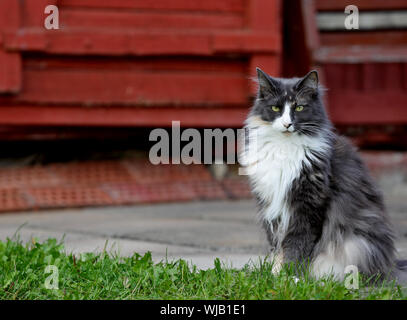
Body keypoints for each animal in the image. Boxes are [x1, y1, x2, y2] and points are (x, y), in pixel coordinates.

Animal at [242, 69, 407, 284]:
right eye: (276, 108)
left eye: (299, 107)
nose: (287, 124)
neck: (284, 148)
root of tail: (390, 267)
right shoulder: (271, 205)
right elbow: (277, 247)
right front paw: (274, 275)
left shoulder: (309, 205)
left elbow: (296, 245)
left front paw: (290, 276)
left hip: (357, 245)